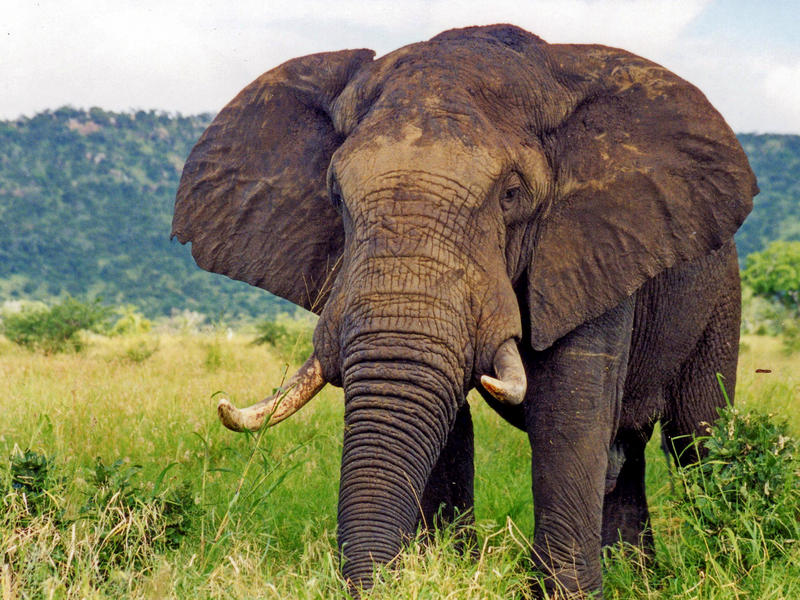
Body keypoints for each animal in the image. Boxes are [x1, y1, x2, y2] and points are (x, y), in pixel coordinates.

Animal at [172, 24, 756, 597]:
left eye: (512, 194)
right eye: (335, 195)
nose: (384, 578)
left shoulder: (592, 243)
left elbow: (569, 410)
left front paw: (562, 593)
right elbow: (445, 418)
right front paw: (446, 570)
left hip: (721, 296)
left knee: (696, 436)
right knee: (627, 457)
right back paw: (638, 579)